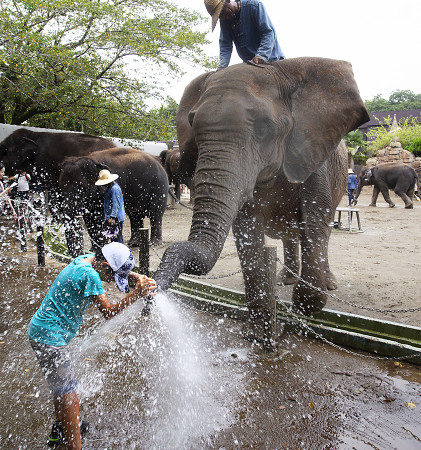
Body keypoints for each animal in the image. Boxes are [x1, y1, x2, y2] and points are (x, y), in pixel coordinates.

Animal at [153, 57, 370, 344]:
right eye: (192, 124)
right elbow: (247, 230)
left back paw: (326, 283)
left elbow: (315, 220)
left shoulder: (315, 154)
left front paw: (299, 308)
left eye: (264, 128)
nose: (152, 291)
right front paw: (258, 333)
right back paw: (284, 280)